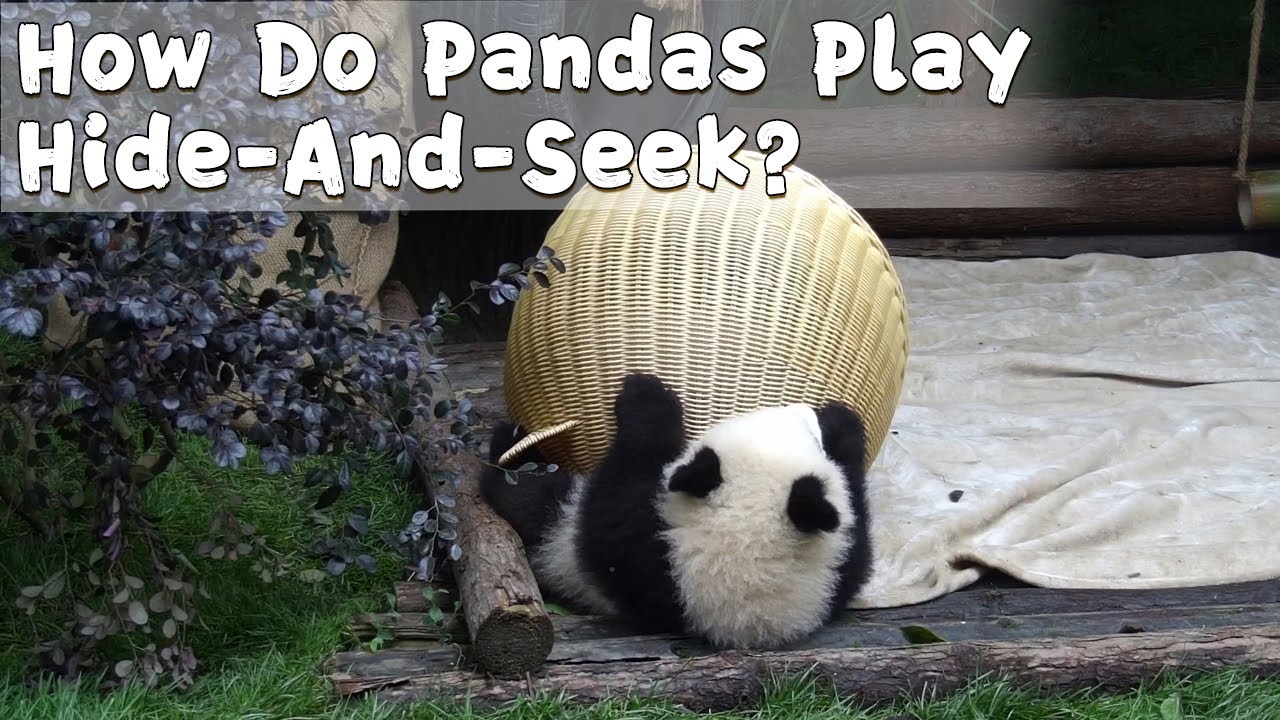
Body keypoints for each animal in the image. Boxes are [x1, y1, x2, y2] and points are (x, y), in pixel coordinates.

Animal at [479, 372, 872, 649]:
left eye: (806, 434)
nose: (803, 408)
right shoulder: (836, 576)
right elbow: (857, 542)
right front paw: (844, 425)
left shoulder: (644, 551)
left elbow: (614, 506)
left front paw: (646, 396)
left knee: (532, 499)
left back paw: (511, 448)